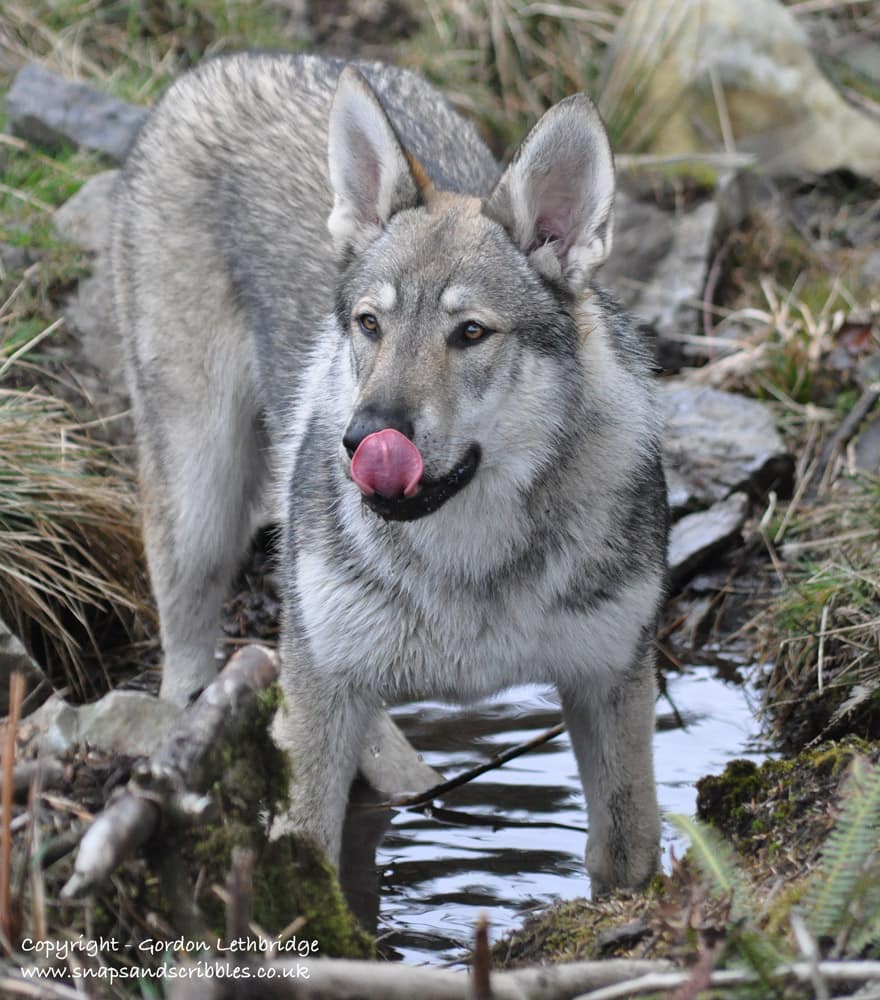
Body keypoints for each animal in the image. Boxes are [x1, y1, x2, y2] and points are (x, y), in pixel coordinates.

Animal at [112, 51, 668, 896]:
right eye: (370, 324)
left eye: (469, 333)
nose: (361, 440)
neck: (470, 562)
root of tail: (235, 57)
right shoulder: (324, 685)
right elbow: (307, 855)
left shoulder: (610, 682)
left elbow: (627, 858)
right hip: (203, 505)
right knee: (187, 665)